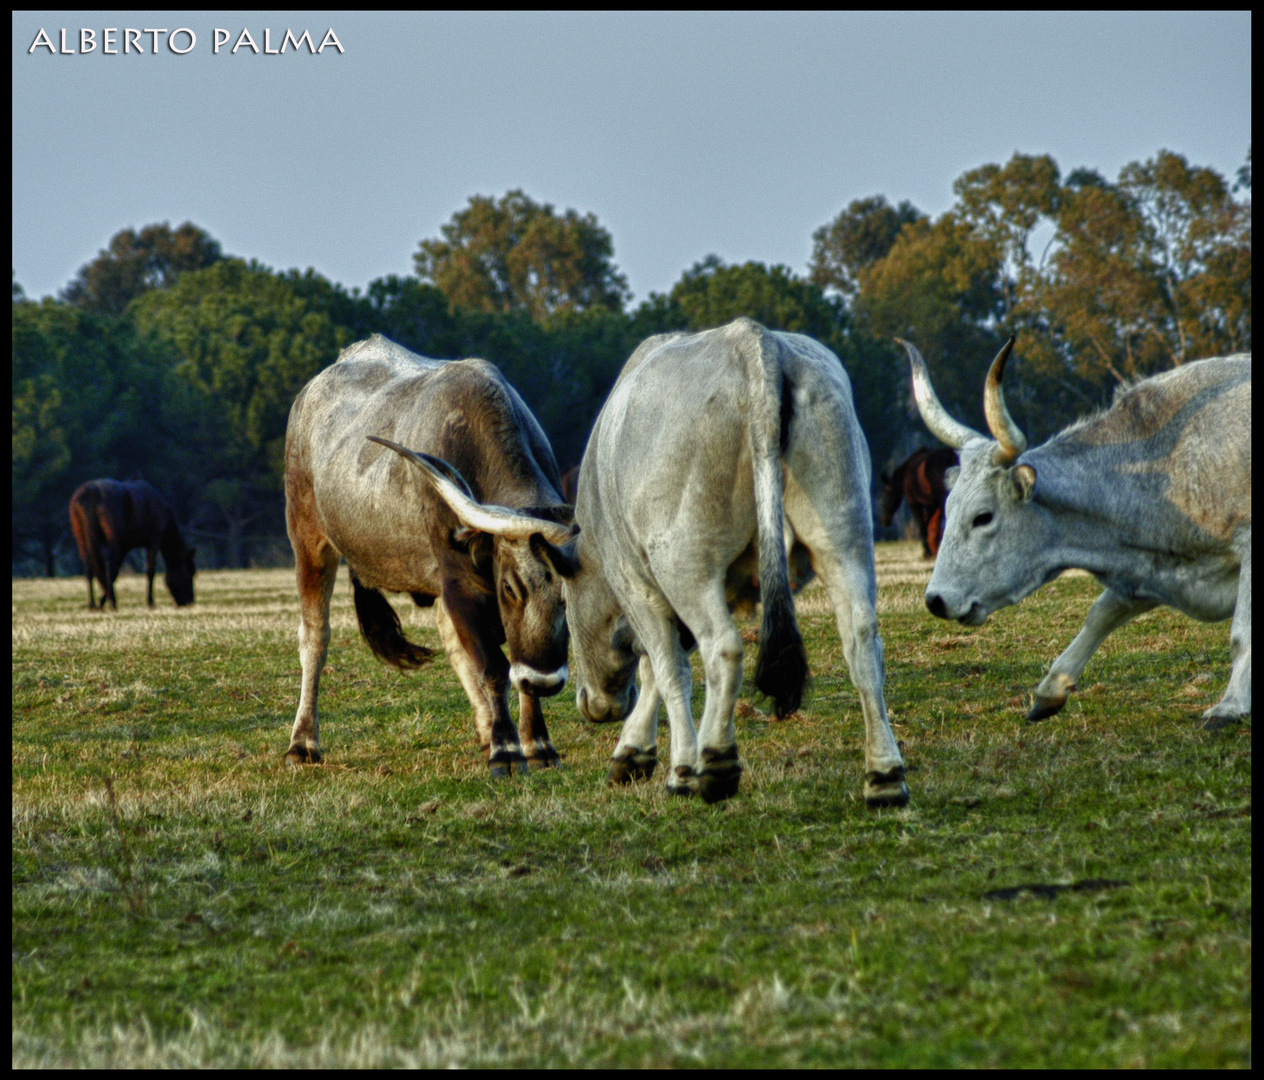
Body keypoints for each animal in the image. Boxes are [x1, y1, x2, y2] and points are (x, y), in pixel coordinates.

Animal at [68, 480, 195, 609]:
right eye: (190, 573)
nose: (189, 601)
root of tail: (91, 493)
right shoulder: (153, 542)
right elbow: (150, 572)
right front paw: (150, 602)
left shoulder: (124, 547)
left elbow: (114, 573)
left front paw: (102, 601)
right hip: (112, 542)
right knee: (108, 566)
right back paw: (112, 602)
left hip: (82, 541)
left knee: (90, 569)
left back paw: (92, 604)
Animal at [284, 333, 576, 773]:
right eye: (510, 588)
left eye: (571, 596)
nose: (546, 680)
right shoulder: (461, 583)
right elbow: (494, 668)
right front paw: (507, 750)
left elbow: (503, 663)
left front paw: (536, 743)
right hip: (308, 541)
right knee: (314, 637)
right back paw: (303, 742)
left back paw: (485, 729)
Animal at [905, 338, 1248, 728]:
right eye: (948, 509)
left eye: (983, 517)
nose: (935, 600)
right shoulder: (1150, 570)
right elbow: (1100, 614)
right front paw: (1051, 688)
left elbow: (1241, 634)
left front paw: (1229, 706)